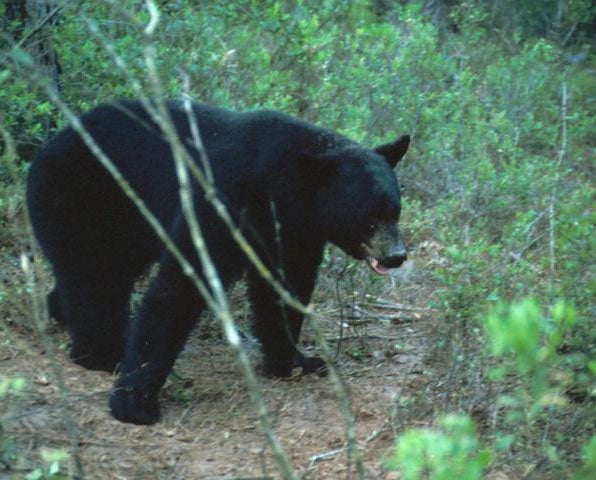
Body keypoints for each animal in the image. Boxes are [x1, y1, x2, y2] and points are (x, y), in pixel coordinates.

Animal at [26, 100, 410, 424]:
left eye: (395, 210)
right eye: (369, 218)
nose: (396, 256)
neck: (281, 187)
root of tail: (47, 146)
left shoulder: (291, 233)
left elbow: (284, 289)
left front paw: (296, 361)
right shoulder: (224, 198)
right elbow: (180, 286)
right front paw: (135, 402)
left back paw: (61, 313)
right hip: (82, 196)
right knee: (93, 276)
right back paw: (101, 353)